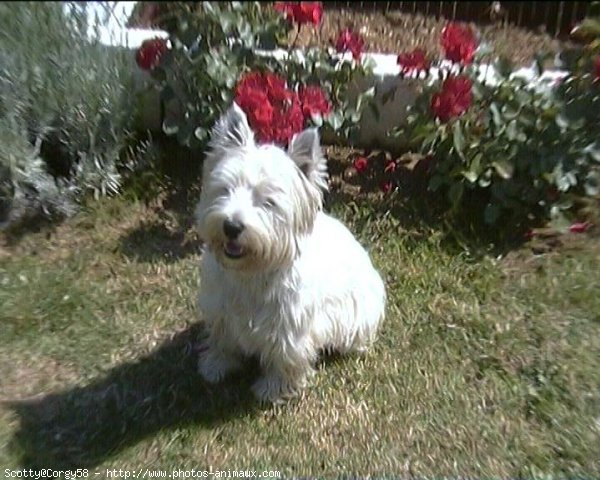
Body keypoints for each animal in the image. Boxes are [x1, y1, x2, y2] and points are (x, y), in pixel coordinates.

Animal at [195, 103, 386, 404]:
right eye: (225, 190)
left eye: (268, 202)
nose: (231, 226)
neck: (252, 271)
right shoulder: (219, 310)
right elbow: (222, 340)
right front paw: (215, 365)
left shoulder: (290, 328)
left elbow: (285, 358)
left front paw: (273, 389)